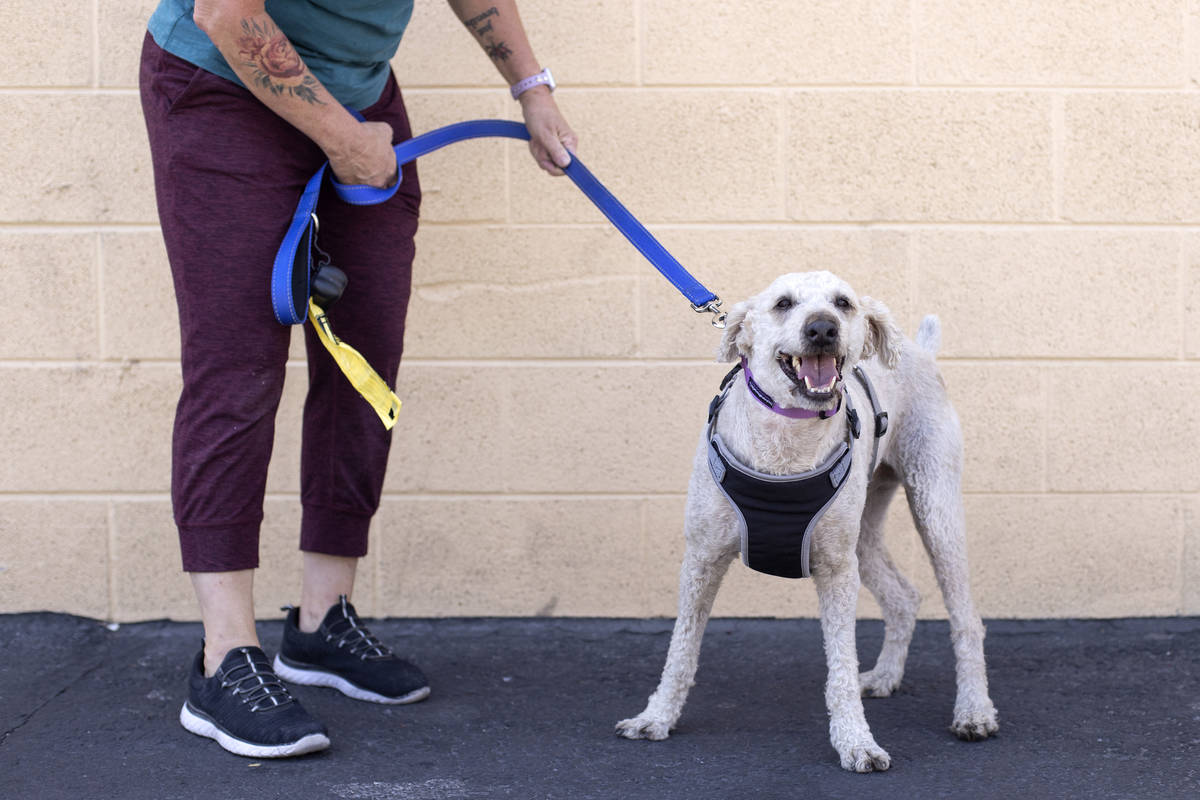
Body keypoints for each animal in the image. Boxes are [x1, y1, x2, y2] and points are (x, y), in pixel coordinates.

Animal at [614, 272, 998, 772]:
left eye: (844, 303)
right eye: (783, 303)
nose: (822, 328)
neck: (787, 442)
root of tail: (922, 351)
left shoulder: (836, 571)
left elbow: (840, 669)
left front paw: (856, 742)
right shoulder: (701, 559)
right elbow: (680, 650)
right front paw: (656, 717)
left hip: (935, 508)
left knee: (967, 620)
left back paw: (974, 711)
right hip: (863, 533)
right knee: (904, 597)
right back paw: (885, 676)